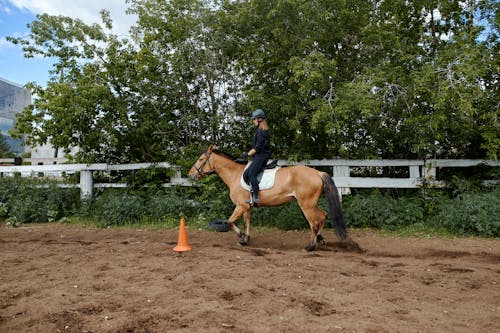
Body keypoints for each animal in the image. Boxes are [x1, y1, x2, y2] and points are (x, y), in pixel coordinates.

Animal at [188, 144, 348, 250]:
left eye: (201, 159)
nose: (190, 174)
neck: (234, 174)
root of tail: (317, 173)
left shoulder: (241, 205)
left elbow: (230, 222)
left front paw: (241, 237)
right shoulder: (247, 207)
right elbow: (246, 223)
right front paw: (245, 239)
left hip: (306, 205)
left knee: (314, 221)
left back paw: (310, 246)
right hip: (311, 203)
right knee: (323, 215)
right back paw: (320, 240)